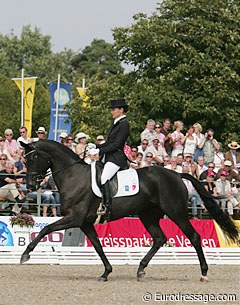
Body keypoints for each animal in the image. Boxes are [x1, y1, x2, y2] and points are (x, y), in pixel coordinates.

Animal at [20, 140, 238, 280]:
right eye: (24, 160)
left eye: (32, 159)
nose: (30, 185)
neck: (72, 175)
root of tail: (176, 174)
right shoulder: (85, 222)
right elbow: (97, 246)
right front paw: (106, 272)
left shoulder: (75, 218)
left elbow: (45, 229)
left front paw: (26, 254)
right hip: (148, 215)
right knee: (159, 238)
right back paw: (141, 269)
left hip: (176, 213)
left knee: (193, 236)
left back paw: (204, 273)